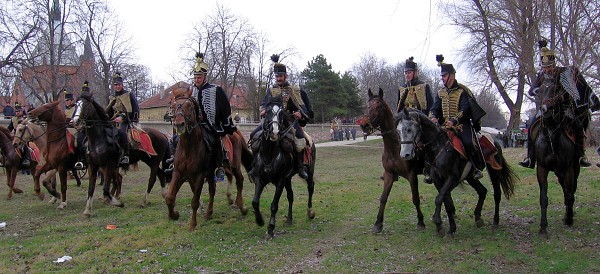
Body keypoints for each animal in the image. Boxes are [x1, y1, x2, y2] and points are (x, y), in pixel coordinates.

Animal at [164, 90, 253, 231]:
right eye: (173, 105)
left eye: (189, 105)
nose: (179, 124)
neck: (189, 147)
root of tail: (235, 132)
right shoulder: (179, 174)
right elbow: (170, 197)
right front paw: (174, 215)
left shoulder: (199, 175)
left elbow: (195, 201)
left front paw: (192, 224)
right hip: (211, 173)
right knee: (213, 189)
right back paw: (209, 213)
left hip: (234, 165)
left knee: (239, 180)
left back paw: (241, 207)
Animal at [248, 96, 316, 238]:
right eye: (267, 112)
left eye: (281, 114)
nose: (274, 132)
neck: (269, 153)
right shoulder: (260, 178)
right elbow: (255, 202)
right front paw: (260, 220)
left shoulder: (280, 180)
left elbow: (274, 205)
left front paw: (270, 228)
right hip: (288, 179)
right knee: (291, 195)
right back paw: (289, 219)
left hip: (309, 171)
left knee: (310, 187)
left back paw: (310, 211)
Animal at [358, 88, 428, 233]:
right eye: (368, 106)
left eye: (379, 106)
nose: (364, 125)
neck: (395, 147)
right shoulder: (389, 174)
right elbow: (383, 198)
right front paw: (378, 223)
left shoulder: (412, 176)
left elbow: (415, 198)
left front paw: (420, 221)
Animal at [396, 94, 516, 235]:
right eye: (398, 131)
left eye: (409, 129)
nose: (405, 155)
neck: (439, 147)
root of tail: (495, 141)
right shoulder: (437, 180)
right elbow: (446, 201)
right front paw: (450, 227)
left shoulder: (451, 177)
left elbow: (439, 198)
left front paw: (438, 222)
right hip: (470, 177)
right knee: (482, 191)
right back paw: (477, 218)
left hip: (494, 171)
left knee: (497, 194)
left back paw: (495, 221)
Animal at [536, 75, 580, 235]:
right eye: (540, 91)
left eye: (555, 91)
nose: (545, 109)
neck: (552, 138)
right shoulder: (542, 168)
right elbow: (543, 198)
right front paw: (543, 226)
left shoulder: (568, 169)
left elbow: (570, 194)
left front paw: (569, 219)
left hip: (573, 169)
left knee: (570, 191)